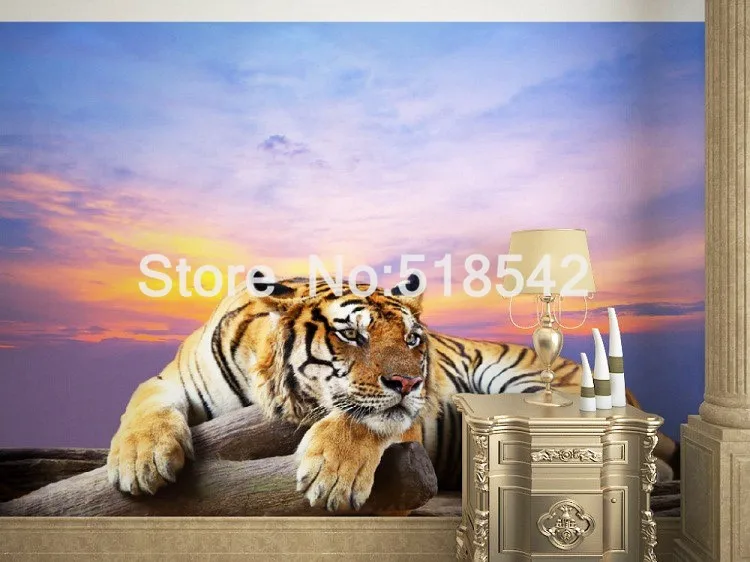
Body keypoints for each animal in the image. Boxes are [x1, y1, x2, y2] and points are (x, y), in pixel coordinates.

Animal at [107, 274, 679, 510]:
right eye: (351, 334)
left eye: (411, 339)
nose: (410, 382)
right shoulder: (169, 380)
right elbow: (142, 405)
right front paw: (141, 461)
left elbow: (363, 418)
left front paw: (332, 477)